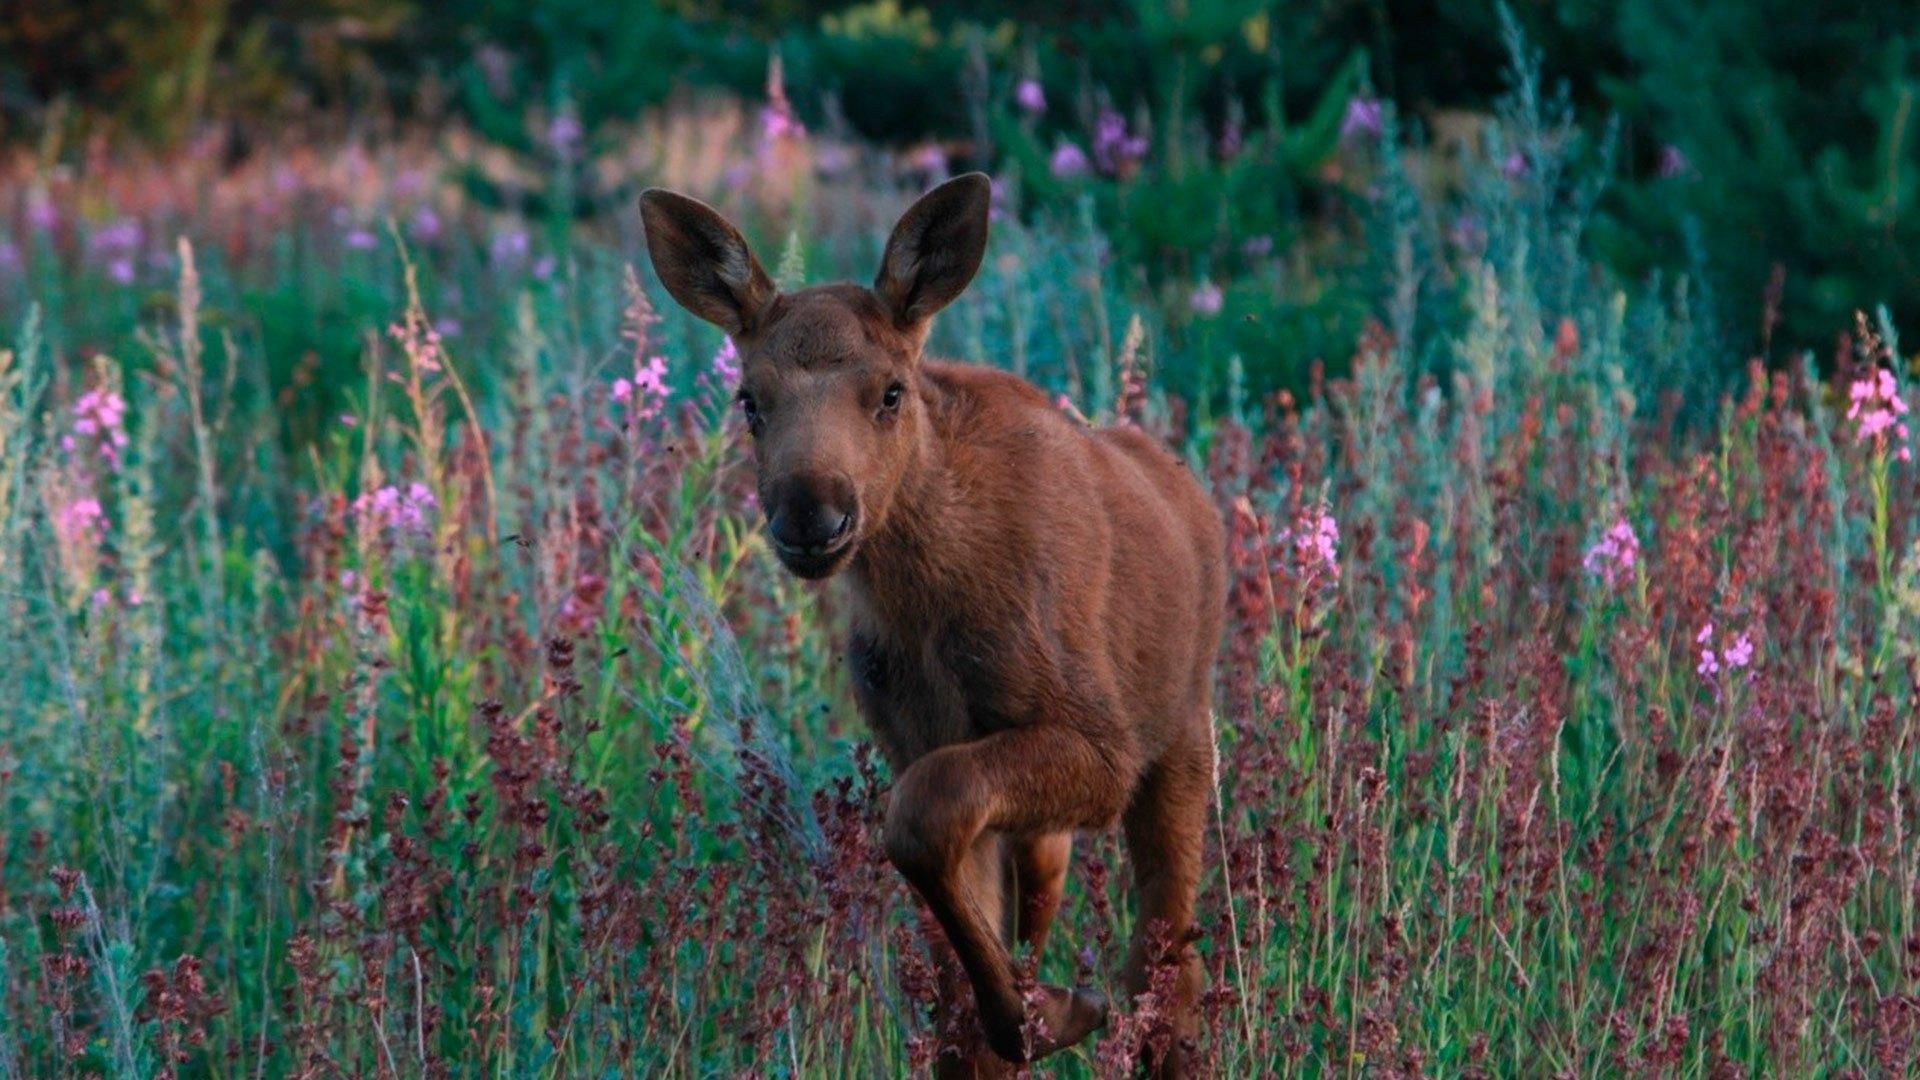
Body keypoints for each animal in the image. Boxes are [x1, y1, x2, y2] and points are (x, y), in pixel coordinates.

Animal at [637, 174, 1221, 1068]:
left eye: (889, 392)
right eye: (749, 400)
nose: (813, 515)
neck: (923, 596)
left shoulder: (1101, 745)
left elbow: (919, 819)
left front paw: (1045, 1011)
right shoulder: (922, 744)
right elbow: (954, 995)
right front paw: (1035, 1010)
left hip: (1181, 744)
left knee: (1169, 975)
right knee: (1057, 889)